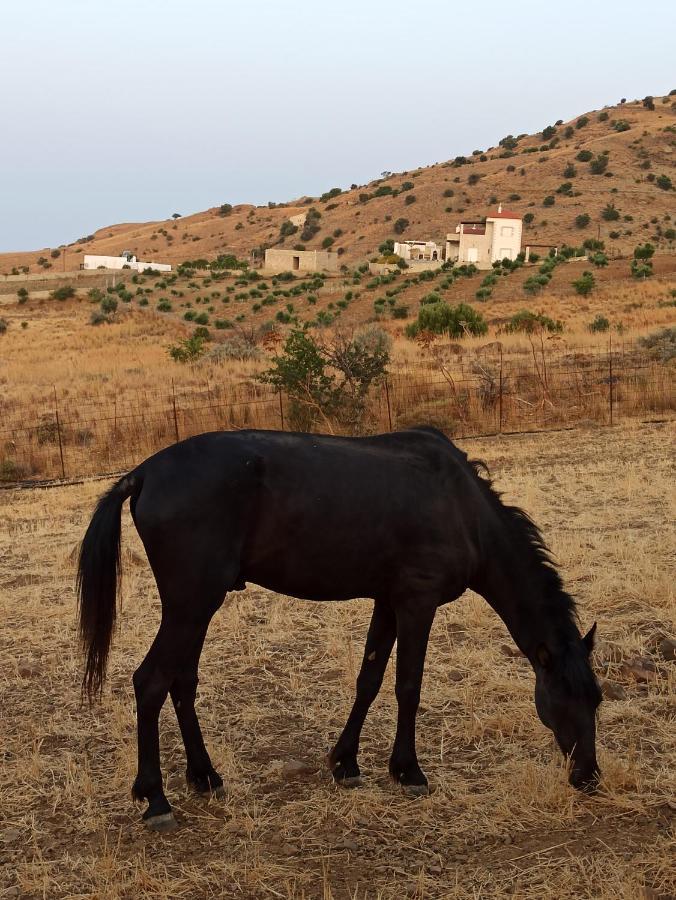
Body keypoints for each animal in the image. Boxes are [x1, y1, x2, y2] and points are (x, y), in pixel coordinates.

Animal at [76, 428, 600, 828]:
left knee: (182, 682)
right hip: (191, 605)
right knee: (151, 682)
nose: (589, 777)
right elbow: (408, 686)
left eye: (597, 699)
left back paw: (204, 776)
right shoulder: (417, 603)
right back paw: (155, 799)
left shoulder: (388, 601)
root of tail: (145, 472)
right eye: (564, 699)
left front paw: (345, 762)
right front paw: (408, 771)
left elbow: (369, 679)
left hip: (196, 608)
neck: (461, 506)